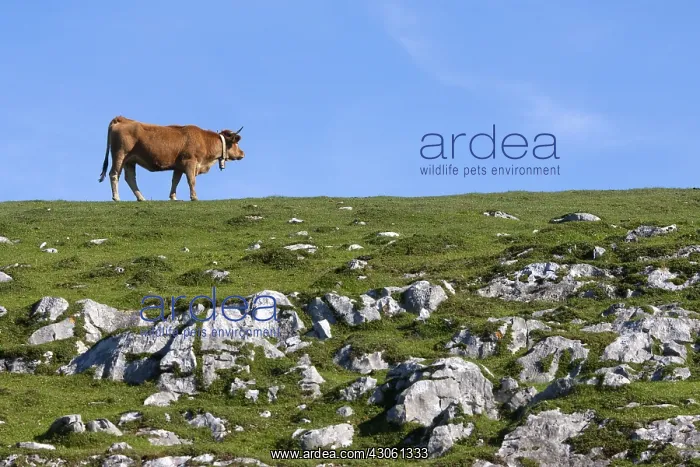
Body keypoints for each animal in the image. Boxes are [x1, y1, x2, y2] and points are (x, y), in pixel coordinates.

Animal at [98, 116, 245, 201]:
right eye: (236, 143)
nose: (242, 153)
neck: (204, 140)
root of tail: (122, 119)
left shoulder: (179, 166)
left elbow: (175, 181)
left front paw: (173, 197)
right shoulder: (190, 162)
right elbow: (191, 181)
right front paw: (194, 197)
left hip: (130, 160)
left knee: (130, 178)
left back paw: (141, 198)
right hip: (120, 155)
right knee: (114, 174)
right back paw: (116, 197)